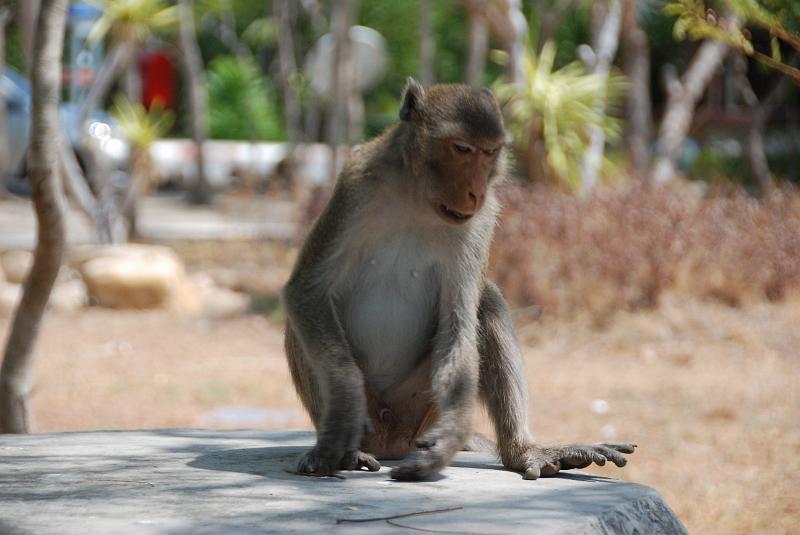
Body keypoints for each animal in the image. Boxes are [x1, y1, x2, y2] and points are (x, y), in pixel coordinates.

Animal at [282, 78, 636, 482]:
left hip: (422, 409)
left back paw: (522, 451)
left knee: (487, 302)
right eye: (462, 148)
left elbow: (459, 317)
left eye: (489, 153)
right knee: (305, 322)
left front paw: (453, 436)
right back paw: (352, 449)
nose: (475, 191)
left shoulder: (483, 217)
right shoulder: (358, 181)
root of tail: (392, 441)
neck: (418, 199)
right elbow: (307, 290)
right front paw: (343, 412)